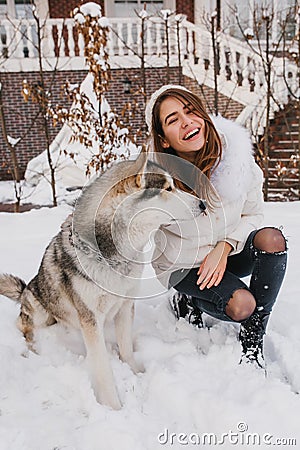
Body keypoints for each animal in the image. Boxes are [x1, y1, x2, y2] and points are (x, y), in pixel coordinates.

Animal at [0, 150, 199, 408]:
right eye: (167, 188)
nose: (203, 204)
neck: (114, 255)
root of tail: (25, 290)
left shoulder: (125, 306)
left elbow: (126, 348)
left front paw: (136, 372)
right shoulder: (90, 319)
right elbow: (103, 368)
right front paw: (113, 406)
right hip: (39, 308)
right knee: (23, 325)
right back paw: (32, 348)